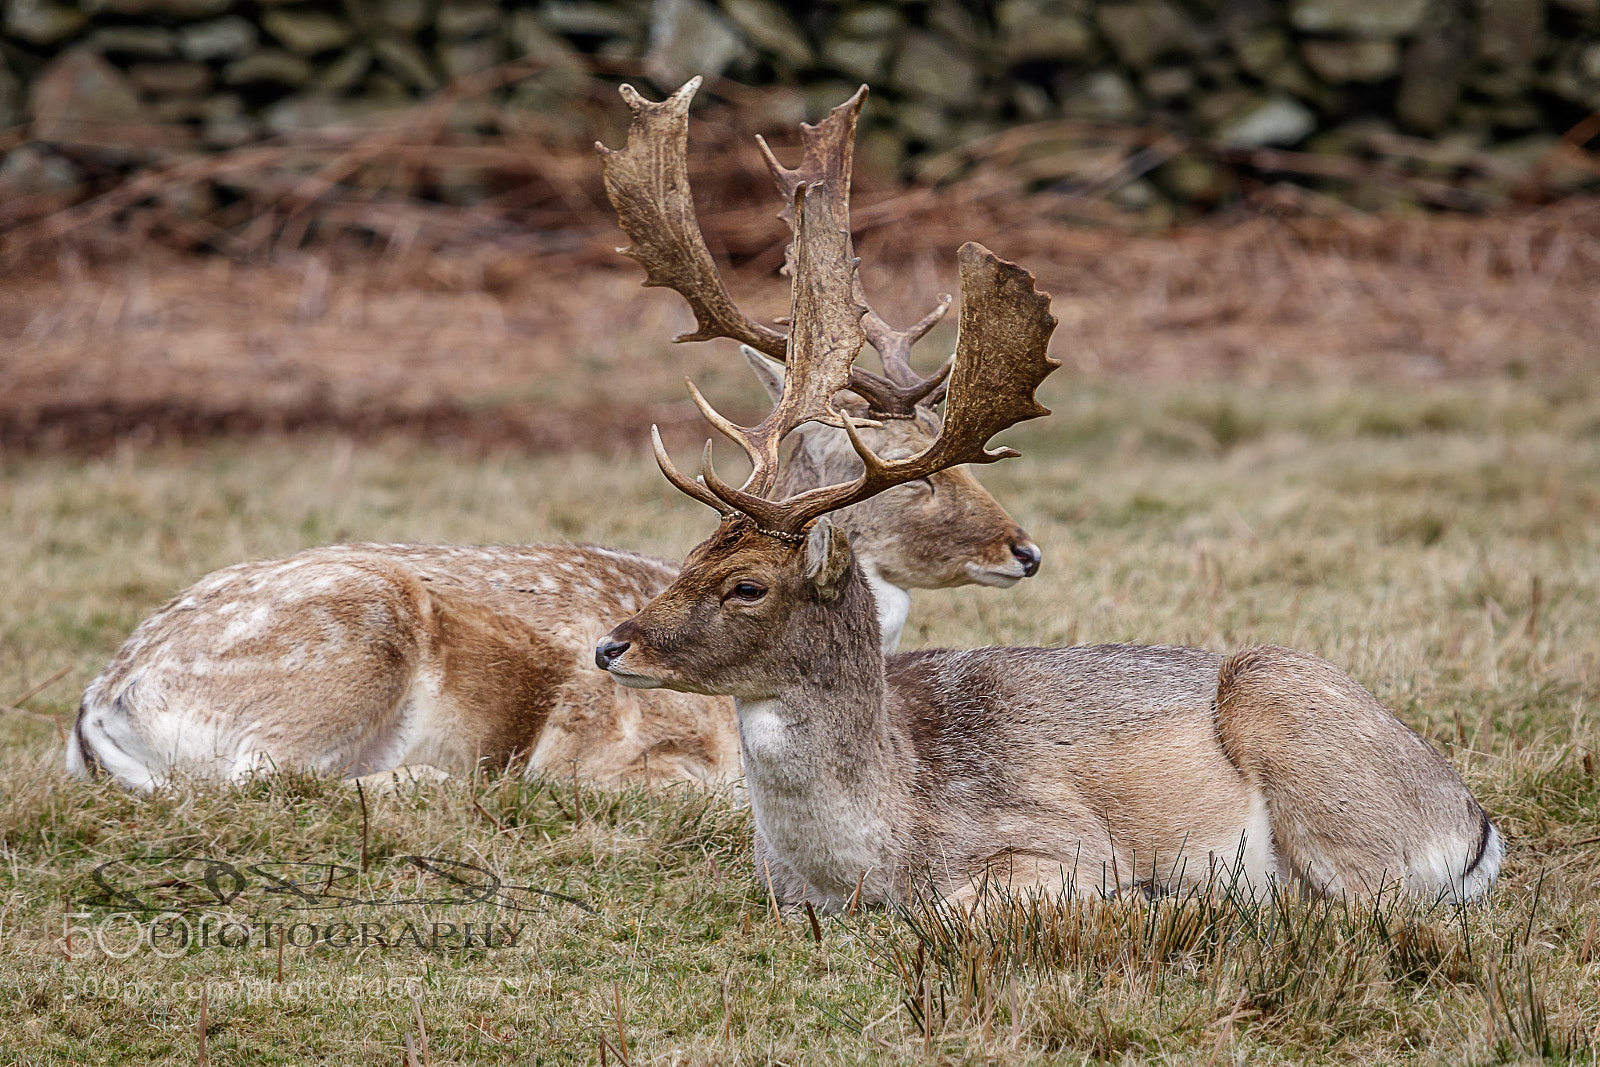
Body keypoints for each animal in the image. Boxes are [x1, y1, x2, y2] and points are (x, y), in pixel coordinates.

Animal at [66, 79, 1045, 792]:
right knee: (264, 774)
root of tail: (100, 703)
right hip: (347, 646)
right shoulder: (616, 751)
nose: (1025, 548)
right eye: (915, 473)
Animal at [595, 104, 1504, 908]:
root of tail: (1475, 827)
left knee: (1358, 900)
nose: (611, 644)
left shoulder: (1055, 839)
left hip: (1296, 723)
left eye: (748, 584)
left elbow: (963, 905)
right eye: (688, 556)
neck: (865, 861)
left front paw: (1143, 893)